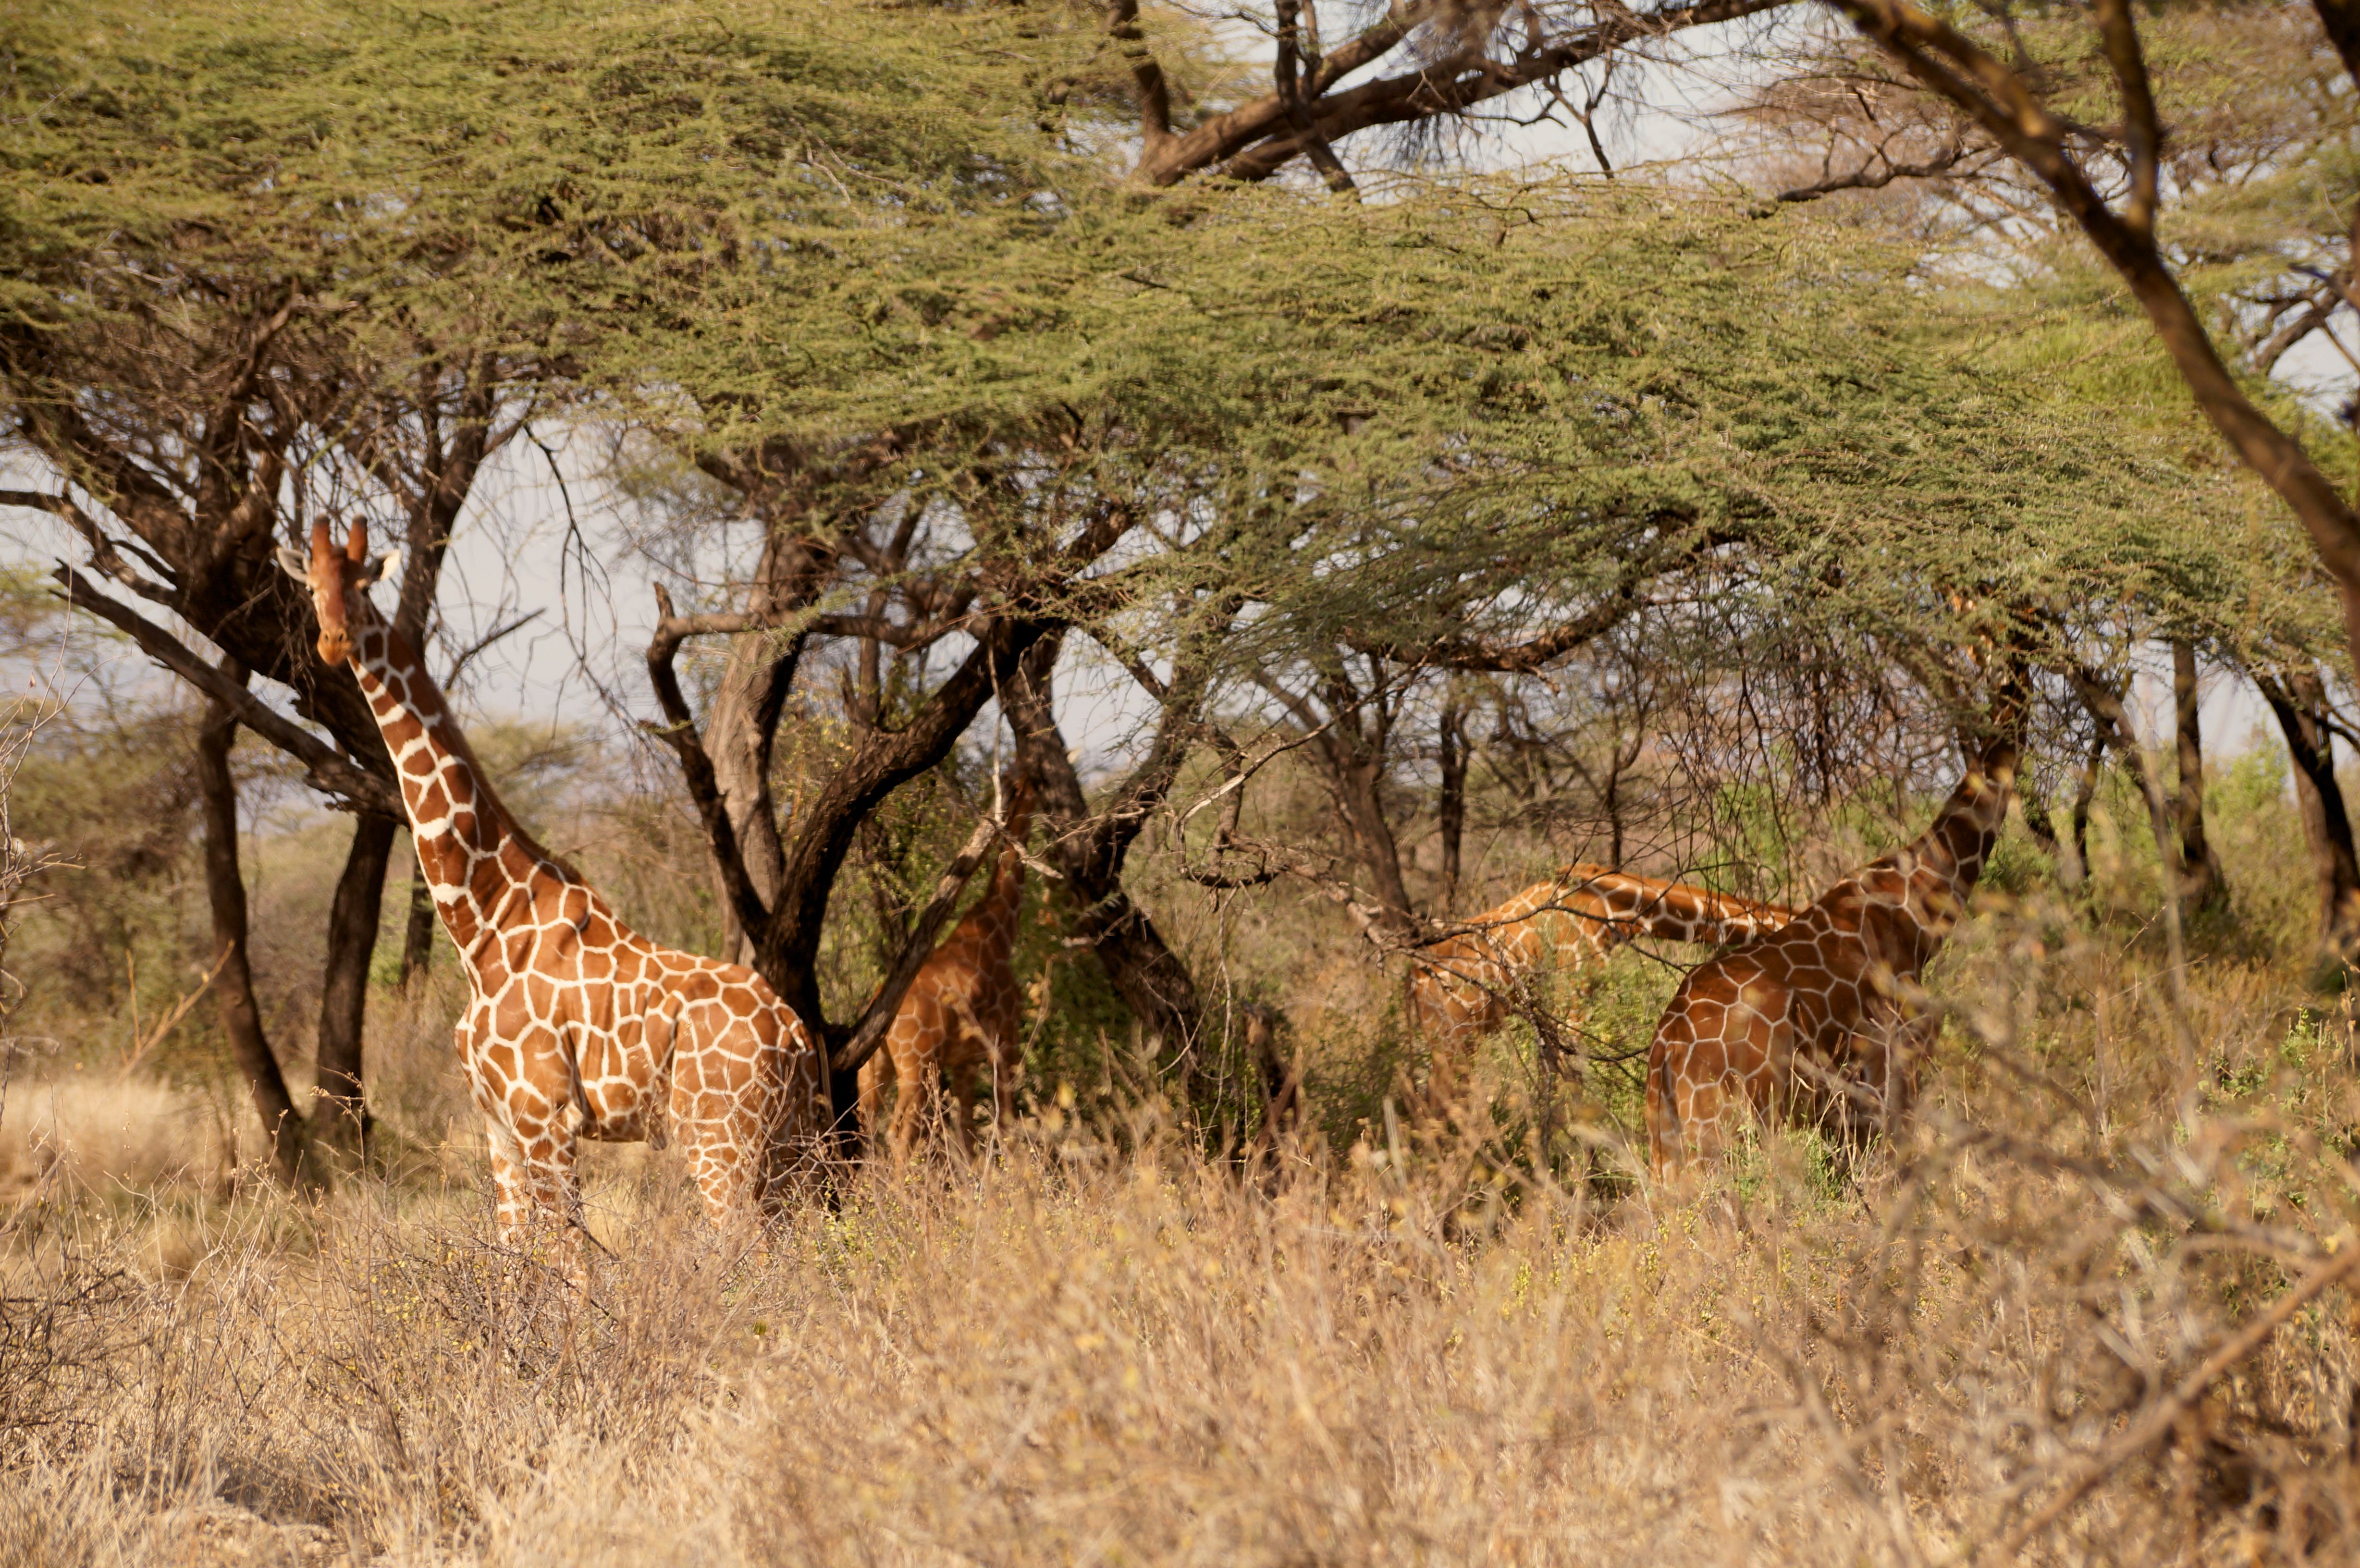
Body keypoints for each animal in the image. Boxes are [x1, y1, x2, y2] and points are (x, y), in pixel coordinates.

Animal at [280, 521, 825, 1247]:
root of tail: (793, 1031)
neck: (482, 926)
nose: (334, 642)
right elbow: (516, 1256)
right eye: (310, 586)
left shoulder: (546, 1117)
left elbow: (572, 1256)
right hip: (785, 1144)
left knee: (752, 1251)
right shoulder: (497, 1125)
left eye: (364, 585)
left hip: (721, 1141)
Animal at [858, 777, 1035, 1164]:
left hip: (876, 1069)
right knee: (898, 1137)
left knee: (863, 1132)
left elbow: (967, 1134)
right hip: (916, 1066)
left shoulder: (966, 1062)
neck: (1000, 929)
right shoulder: (1006, 1040)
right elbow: (1005, 1124)